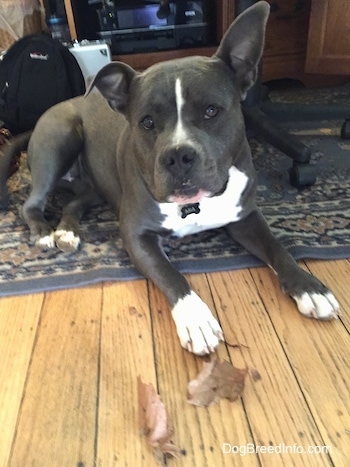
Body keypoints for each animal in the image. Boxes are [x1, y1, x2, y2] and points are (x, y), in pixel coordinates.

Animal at [0, 2, 340, 354]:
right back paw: (44, 232)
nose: (178, 156)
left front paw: (309, 287)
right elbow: (170, 274)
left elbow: (278, 248)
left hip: (95, 187)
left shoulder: (245, 218)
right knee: (31, 204)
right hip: (59, 138)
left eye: (211, 111)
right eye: (147, 121)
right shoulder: (137, 236)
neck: (195, 204)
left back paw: (67, 232)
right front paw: (196, 319)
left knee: (74, 203)